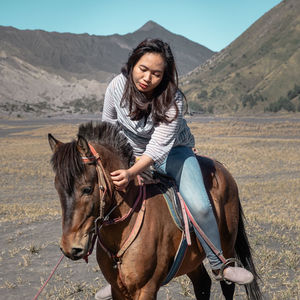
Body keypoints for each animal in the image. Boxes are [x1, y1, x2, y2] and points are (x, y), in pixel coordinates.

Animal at [48, 122, 262, 300]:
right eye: (57, 188)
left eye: (87, 189)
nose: (70, 247)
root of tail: (221, 167)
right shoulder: (118, 290)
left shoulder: (146, 289)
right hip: (191, 257)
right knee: (202, 283)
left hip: (227, 246)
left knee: (227, 284)